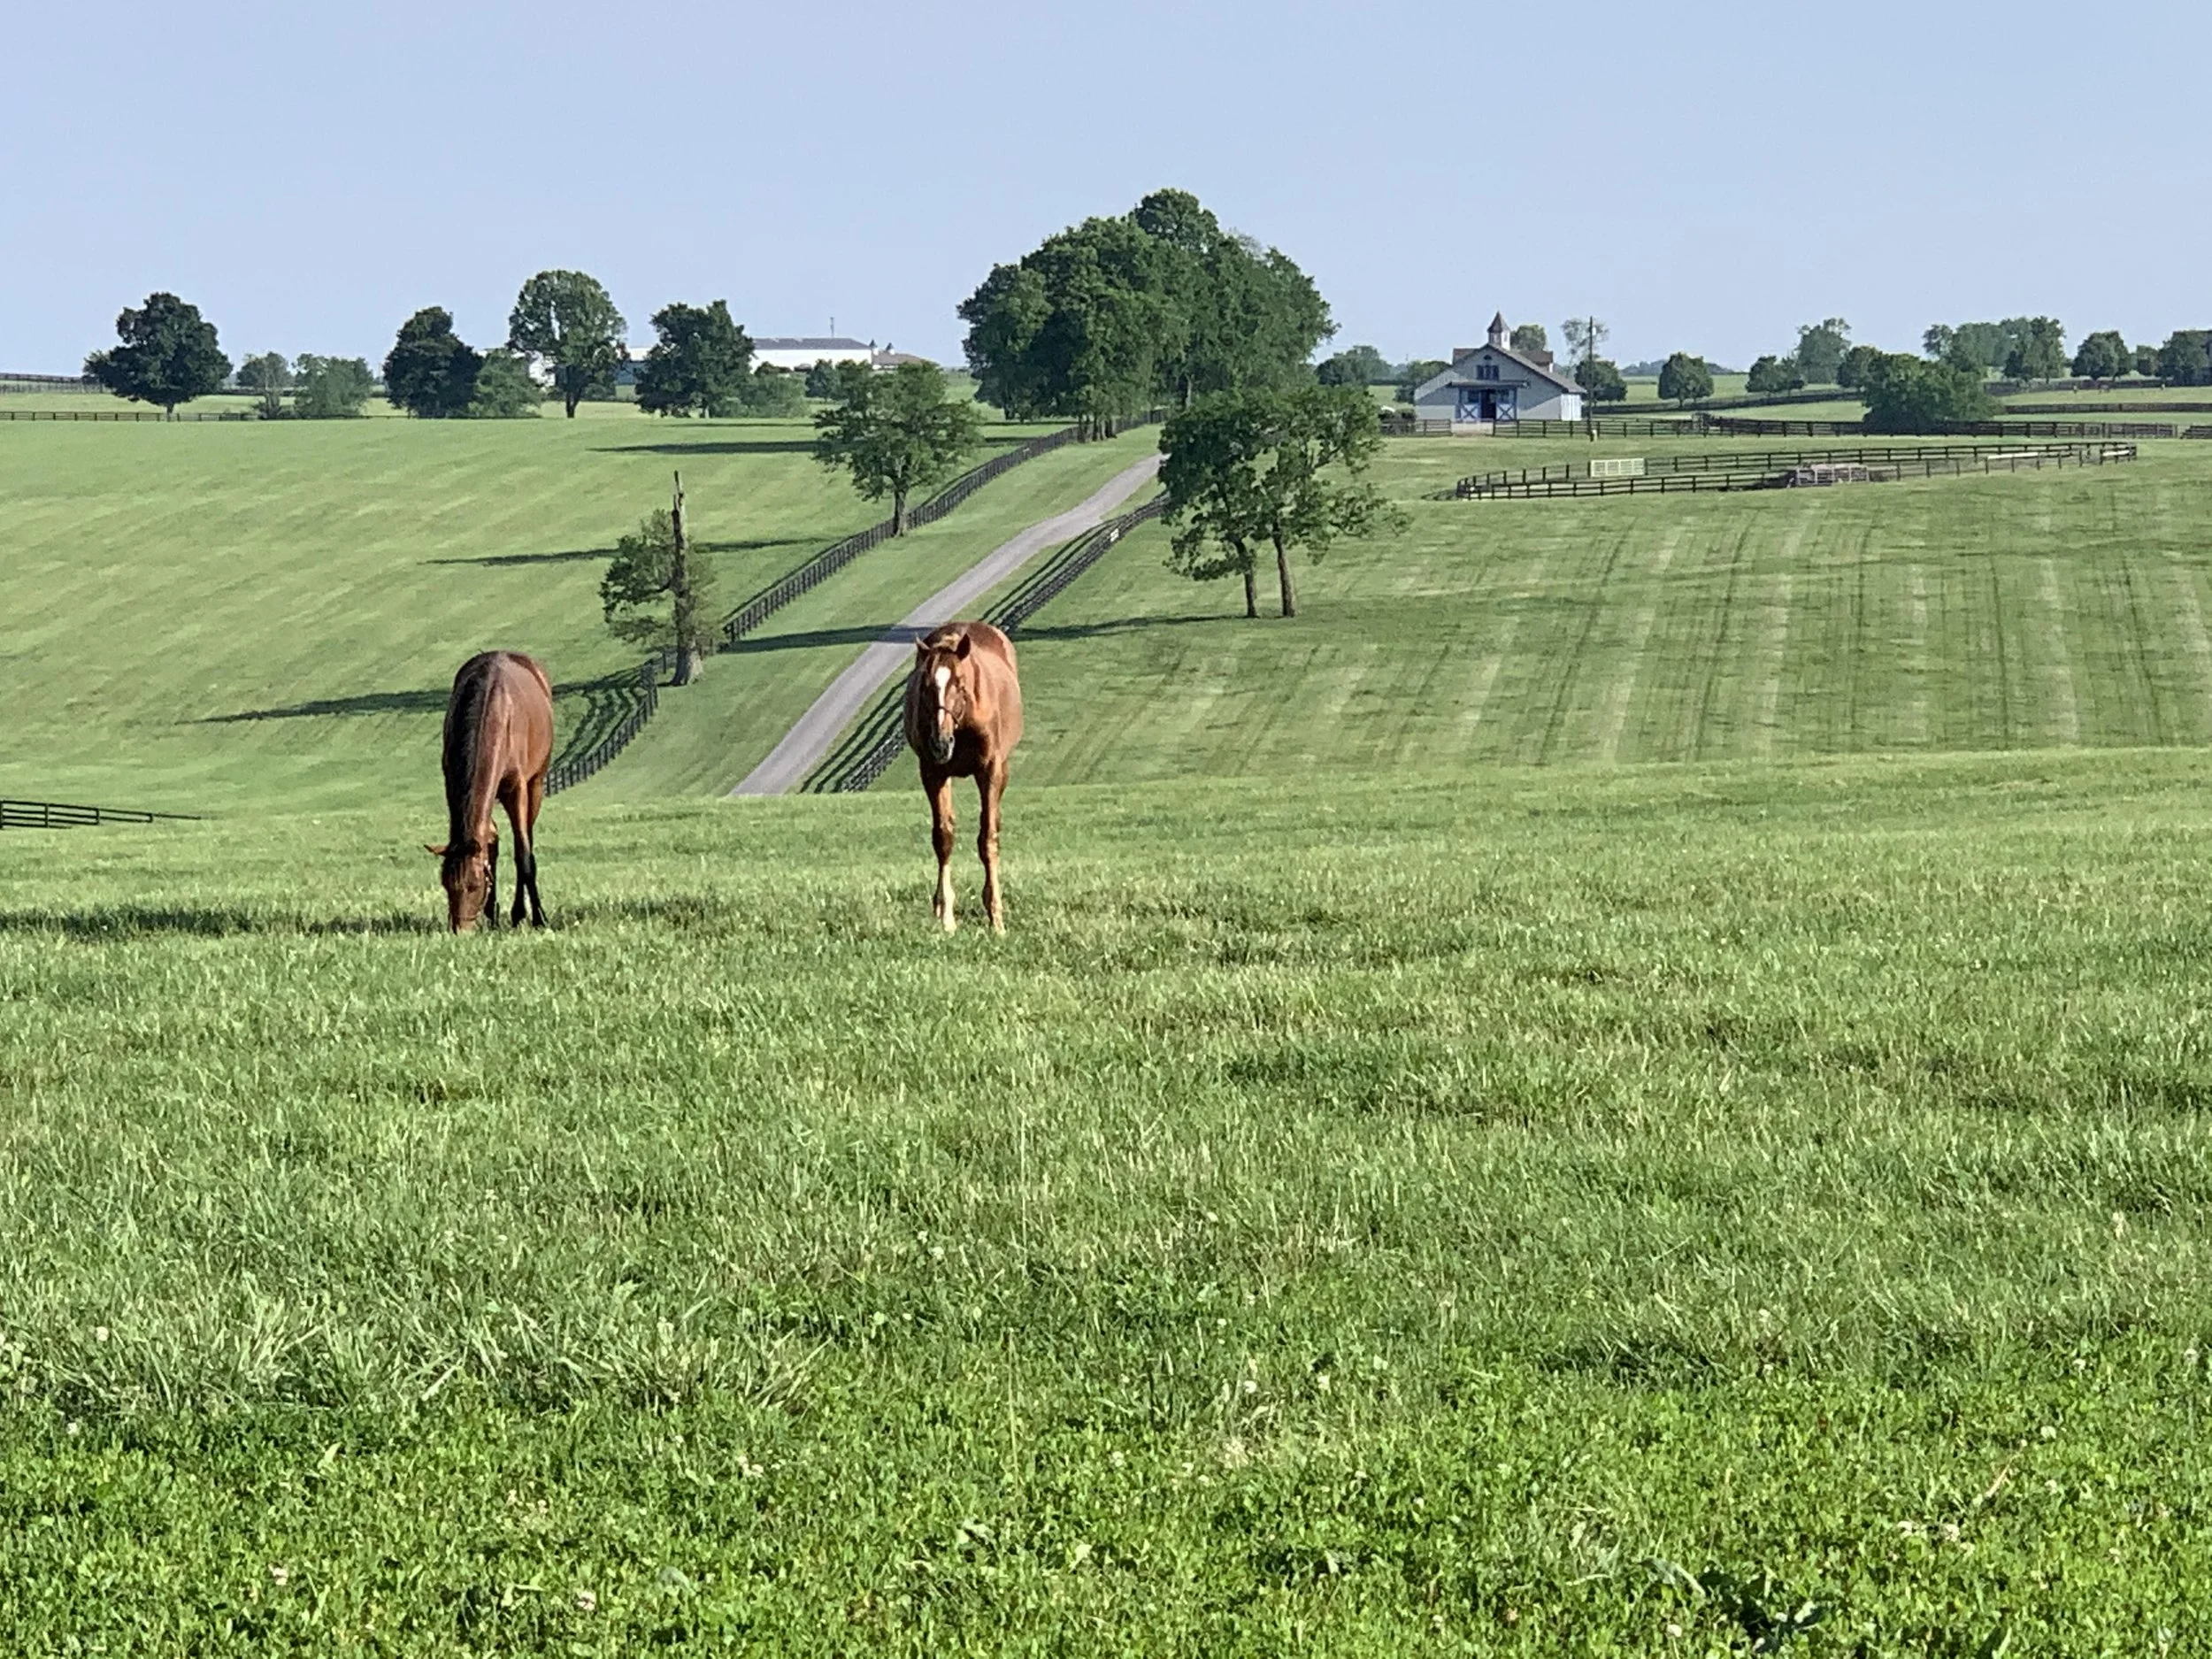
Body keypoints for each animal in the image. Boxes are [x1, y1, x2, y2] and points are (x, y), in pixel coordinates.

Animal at [426, 650, 553, 933]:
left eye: (474, 886)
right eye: (445, 883)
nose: (459, 932)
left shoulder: (517, 789)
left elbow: (523, 855)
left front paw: (535, 917)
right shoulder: (453, 784)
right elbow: (489, 844)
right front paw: (492, 913)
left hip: (536, 784)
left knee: (526, 838)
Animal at [904, 621, 1022, 932]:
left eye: (959, 683)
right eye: (926, 686)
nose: (940, 742)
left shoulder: (989, 770)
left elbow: (987, 839)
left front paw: (996, 916)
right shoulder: (933, 771)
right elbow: (943, 837)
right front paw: (946, 914)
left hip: (1003, 769)